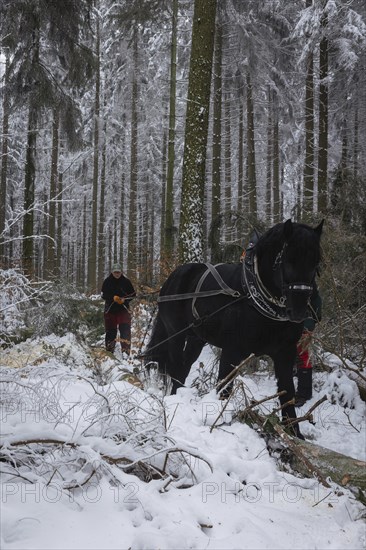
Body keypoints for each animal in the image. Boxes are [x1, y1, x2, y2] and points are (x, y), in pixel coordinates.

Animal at [146, 219, 324, 436]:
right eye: (288, 259)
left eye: (316, 263)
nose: (299, 311)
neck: (254, 298)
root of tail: (172, 278)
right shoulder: (232, 351)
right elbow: (224, 387)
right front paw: (220, 422)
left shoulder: (285, 352)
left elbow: (287, 391)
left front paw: (294, 433)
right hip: (175, 335)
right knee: (175, 368)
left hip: (197, 339)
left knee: (183, 368)